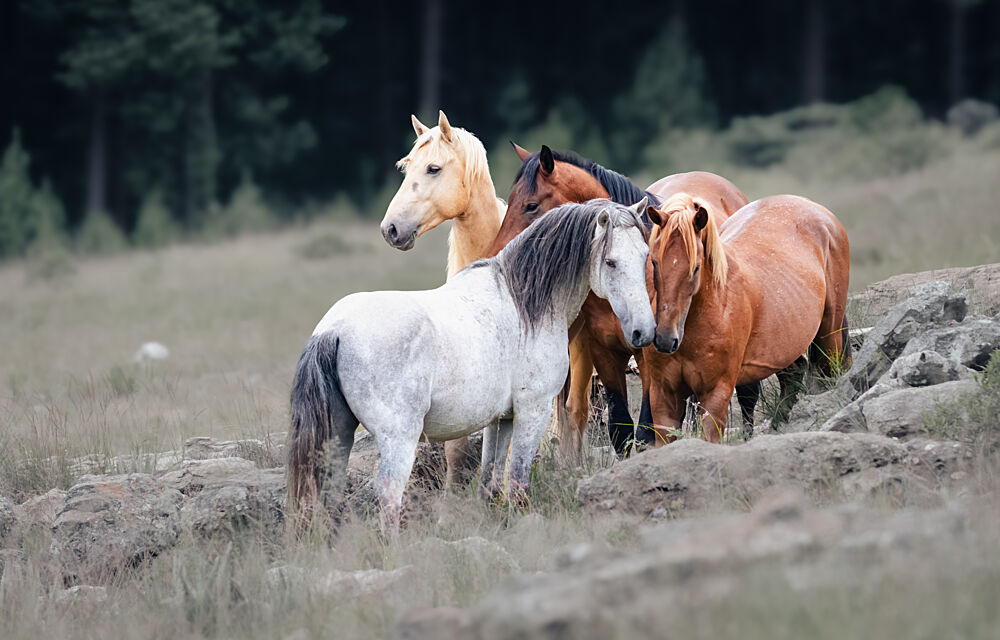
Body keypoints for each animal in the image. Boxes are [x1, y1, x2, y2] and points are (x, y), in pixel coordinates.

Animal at [289, 199, 655, 533]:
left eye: (645, 257)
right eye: (610, 262)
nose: (643, 331)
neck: (524, 304)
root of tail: (333, 330)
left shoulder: (500, 420)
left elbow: (489, 481)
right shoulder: (532, 412)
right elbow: (518, 481)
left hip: (338, 437)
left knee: (330, 496)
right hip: (399, 439)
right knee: (389, 498)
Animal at [492, 144, 754, 454]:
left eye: (531, 205)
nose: (496, 252)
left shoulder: (650, 357)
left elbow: (645, 431)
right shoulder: (604, 351)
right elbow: (620, 427)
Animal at [641, 194, 851, 443]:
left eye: (696, 268)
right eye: (654, 262)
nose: (665, 339)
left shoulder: (715, 393)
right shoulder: (664, 395)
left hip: (829, 334)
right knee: (793, 375)